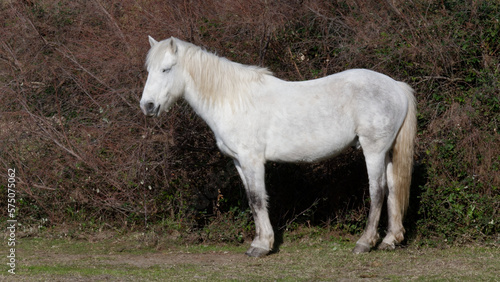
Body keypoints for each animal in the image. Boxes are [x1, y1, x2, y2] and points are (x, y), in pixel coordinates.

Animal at [139, 36, 416, 256]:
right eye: (149, 70)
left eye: (166, 69)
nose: (147, 106)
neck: (232, 99)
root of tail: (396, 87)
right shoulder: (239, 161)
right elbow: (253, 200)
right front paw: (260, 241)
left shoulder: (252, 160)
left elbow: (258, 198)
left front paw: (262, 246)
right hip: (387, 152)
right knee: (393, 188)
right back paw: (390, 240)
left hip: (374, 150)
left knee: (378, 191)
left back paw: (365, 242)